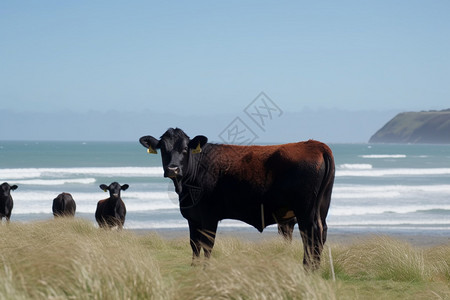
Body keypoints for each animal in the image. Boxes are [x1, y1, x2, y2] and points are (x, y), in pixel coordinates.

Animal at [140, 127, 334, 268]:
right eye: (163, 148)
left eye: (185, 148)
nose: (173, 169)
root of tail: (316, 145)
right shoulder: (192, 218)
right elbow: (194, 245)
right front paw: (194, 268)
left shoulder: (209, 216)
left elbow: (207, 245)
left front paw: (205, 270)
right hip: (321, 207)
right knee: (321, 233)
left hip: (306, 210)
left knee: (311, 235)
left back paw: (308, 269)